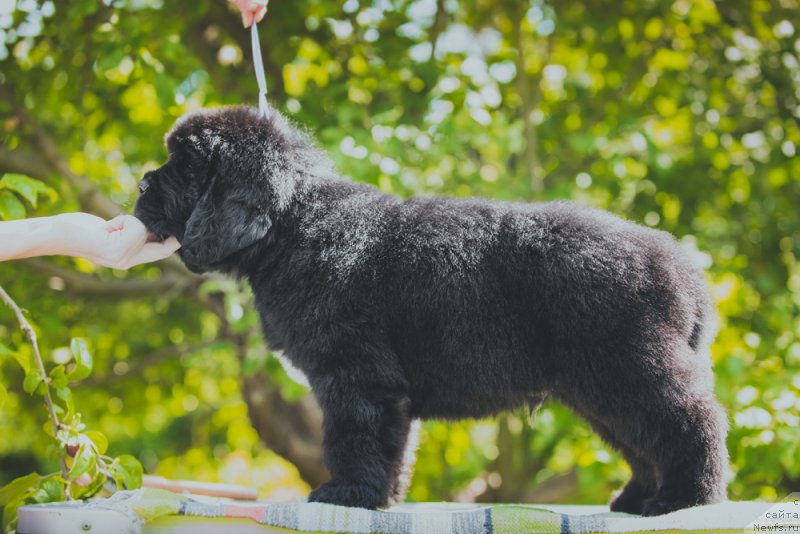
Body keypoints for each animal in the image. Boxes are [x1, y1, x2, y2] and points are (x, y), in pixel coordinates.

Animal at [134, 105, 728, 520]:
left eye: (184, 168)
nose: (139, 182)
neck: (293, 225)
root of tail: (683, 267)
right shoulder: (384, 389)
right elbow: (391, 446)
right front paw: (383, 498)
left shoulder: (354, 374)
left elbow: (352, 436)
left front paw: (345, 494)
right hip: (599, 388)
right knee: (643, 441)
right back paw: (636, 499)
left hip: (629, 368)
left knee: (690, 421)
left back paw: (684, 501)